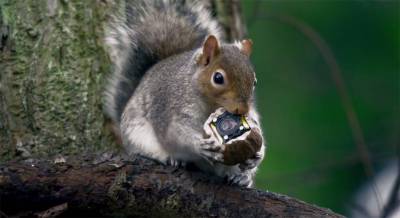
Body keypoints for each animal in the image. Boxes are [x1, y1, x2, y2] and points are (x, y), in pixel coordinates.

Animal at [103, 0, 266, 187]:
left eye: (254, 81)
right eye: (218, 78)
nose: (242, 110)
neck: (212, 105)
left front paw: (257, 156)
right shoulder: (174, 108)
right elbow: (176, 133)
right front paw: (199, 145)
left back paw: (241, 177)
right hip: (137, 135)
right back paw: (172, 159)